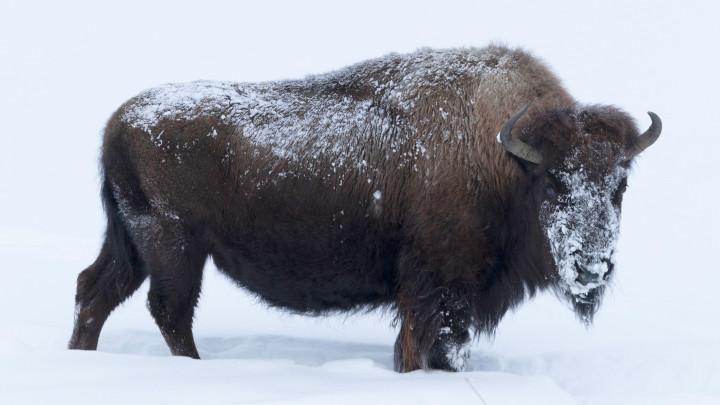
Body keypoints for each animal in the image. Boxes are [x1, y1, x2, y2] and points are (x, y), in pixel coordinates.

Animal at [69, 44, 661, 372]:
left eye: (621, 184)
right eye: (555, 182)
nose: (593, 264)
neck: (504, 158)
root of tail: (116, 123)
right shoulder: (438, 291)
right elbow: (430, 348)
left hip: (131, 245)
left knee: (93, 291)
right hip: (174, 249)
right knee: (168, 310)